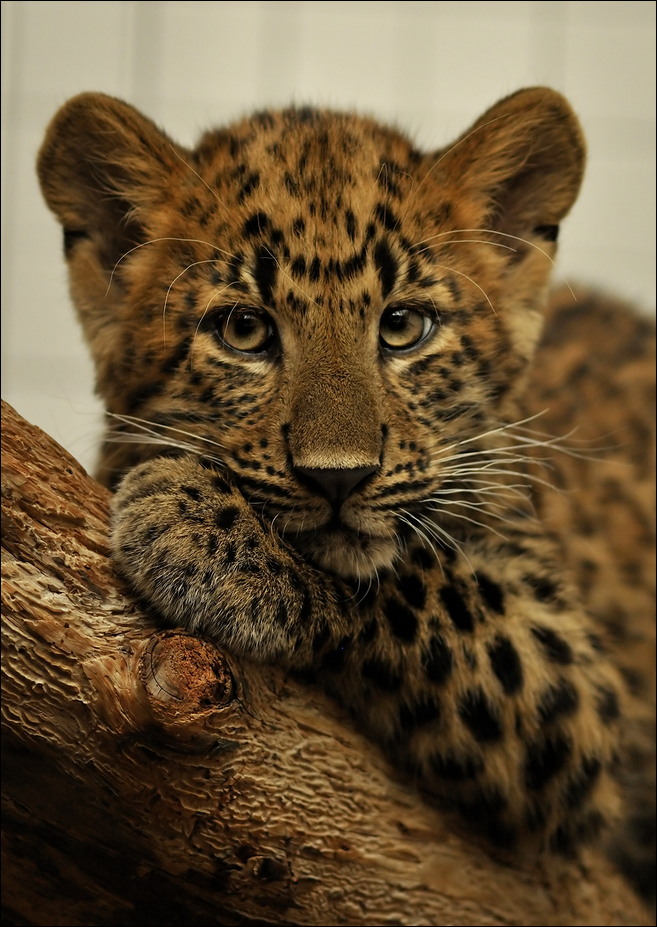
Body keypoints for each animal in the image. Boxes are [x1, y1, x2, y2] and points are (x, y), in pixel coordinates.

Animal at [37, 88, 655, 899]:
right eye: (244, 329)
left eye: (403, 327)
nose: (339, 476)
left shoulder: (568, 683)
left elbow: (414, 577)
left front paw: (198, 529)